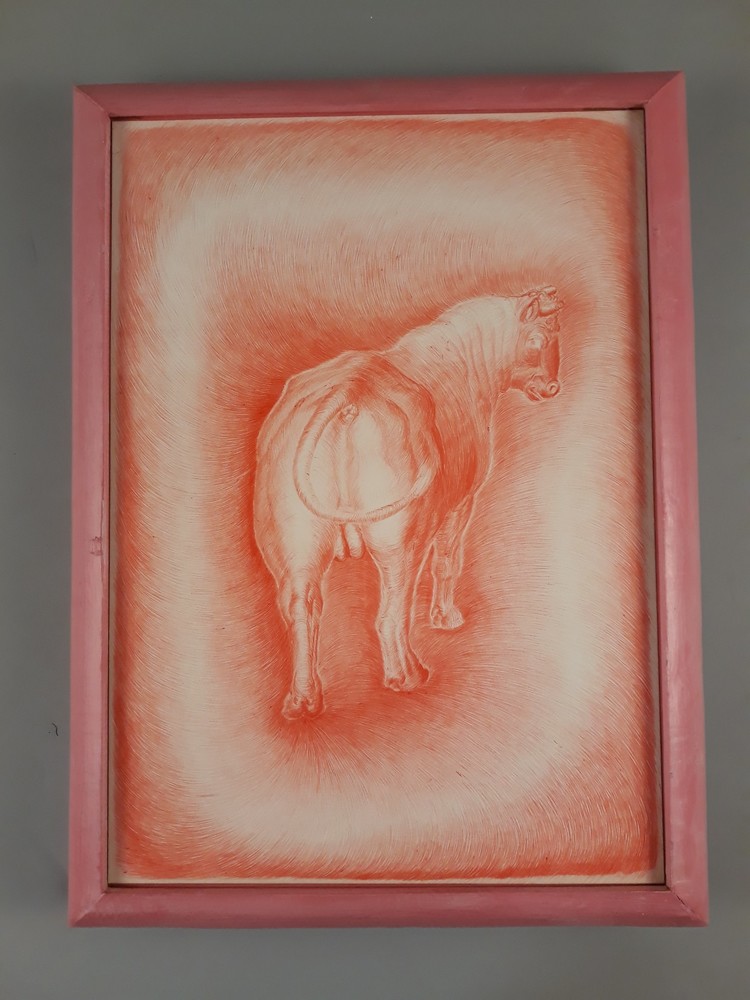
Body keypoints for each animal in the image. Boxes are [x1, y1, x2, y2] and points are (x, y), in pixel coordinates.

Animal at [253, 287, 563, 719]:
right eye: (538, 339)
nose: (552, 388)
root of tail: (349, 391)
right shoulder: (461, 504)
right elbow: (448, 560)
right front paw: (446, 618)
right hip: (399, 540)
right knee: (392, 611)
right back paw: (408, 674)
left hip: (295, 540)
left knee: (302, 607)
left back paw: (304, 700)